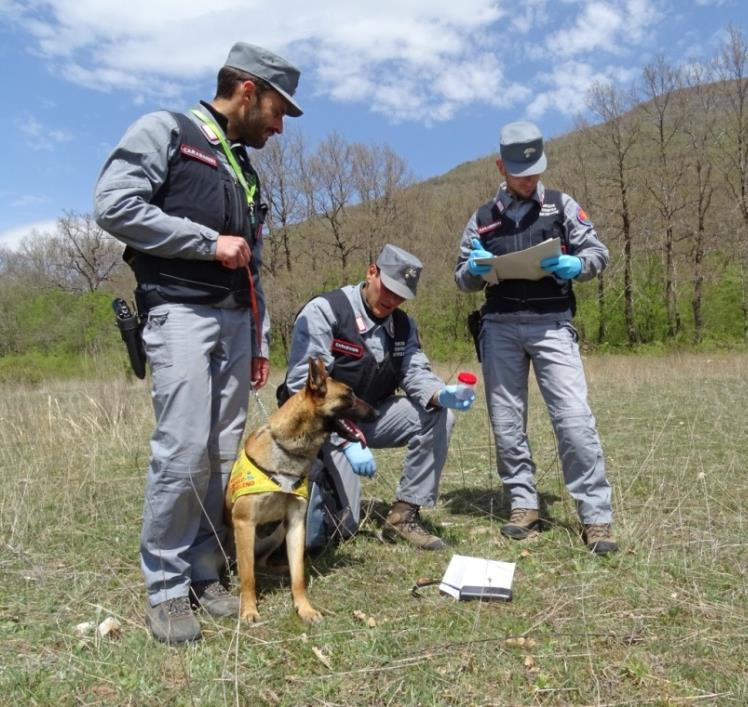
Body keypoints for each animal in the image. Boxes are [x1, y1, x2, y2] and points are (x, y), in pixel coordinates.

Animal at [225, 356, 376, 624]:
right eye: (348, 395)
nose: (376, 413)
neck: (287, 451)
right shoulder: (244, 523)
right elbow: (248, 577)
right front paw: (250, 610)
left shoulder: (295, 523)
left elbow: (298, 576)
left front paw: (304, 608)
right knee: (248, 566)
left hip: (278, 534)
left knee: (262, 563)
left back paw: (280, 568)